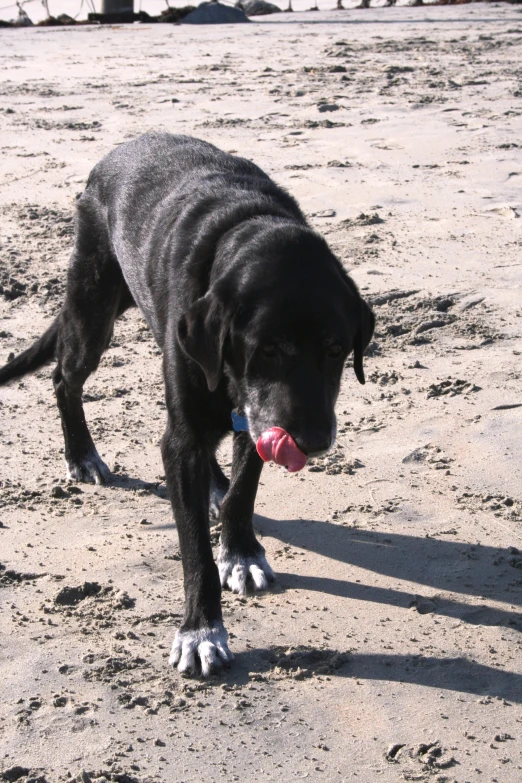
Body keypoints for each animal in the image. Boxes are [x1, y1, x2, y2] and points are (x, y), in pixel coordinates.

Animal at [1, 133, 374, 672]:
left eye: (335, 347)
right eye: (268, 348)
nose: (314, 440)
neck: (249, 226)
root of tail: (118, 151)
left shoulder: (254, 418)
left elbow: (243, 490)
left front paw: (240, 552)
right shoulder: (185, 440)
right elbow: (193, 542)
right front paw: (201, 631)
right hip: (92, 310)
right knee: (63, 379)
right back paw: (82, 455)